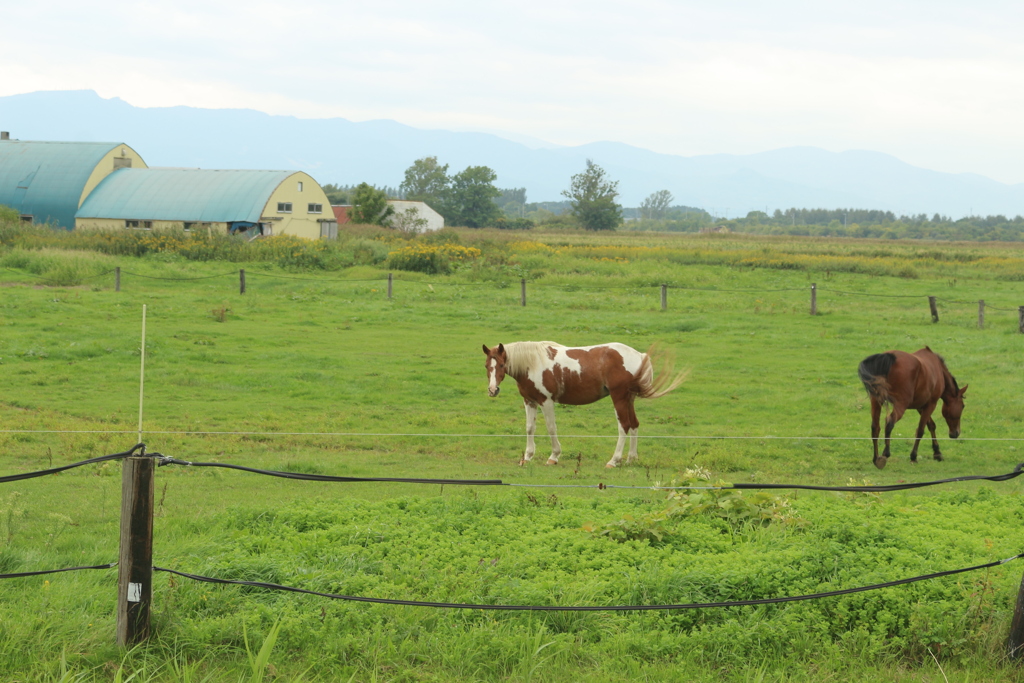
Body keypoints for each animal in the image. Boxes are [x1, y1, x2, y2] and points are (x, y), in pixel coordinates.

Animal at [481, 342, 688, 471]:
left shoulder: (546, 401)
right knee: (634, 424)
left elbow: (551, 428)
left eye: (501, 365)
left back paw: (614, 461)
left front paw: (553, 457)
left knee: (624, 426)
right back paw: (631, 459)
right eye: (486, 366)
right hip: (629, 398)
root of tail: (640, 355)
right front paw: (527, 457)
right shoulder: (529, 401)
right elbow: (530, 428)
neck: (532, 363)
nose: (492, 390)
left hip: (619, 397)